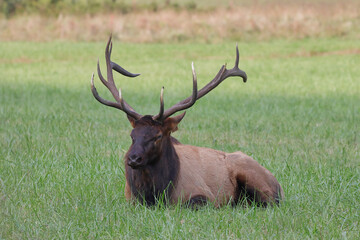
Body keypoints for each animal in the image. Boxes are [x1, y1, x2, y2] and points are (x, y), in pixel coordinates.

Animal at [90, 36, 284, 207]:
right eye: (132, 135)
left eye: (158, 136)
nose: (133, 158)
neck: (155, 195)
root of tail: (278, 184)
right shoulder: (130, 200)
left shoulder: (204, 195)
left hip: (255, 179)